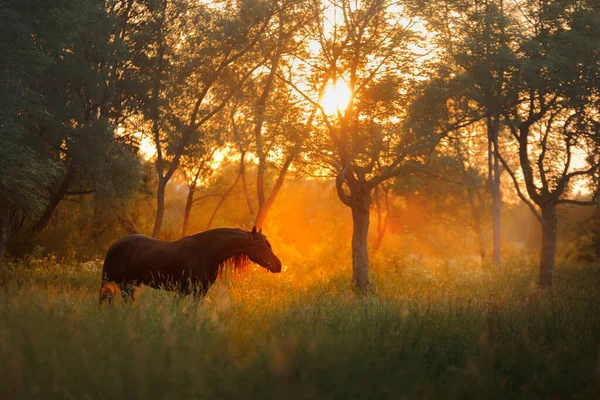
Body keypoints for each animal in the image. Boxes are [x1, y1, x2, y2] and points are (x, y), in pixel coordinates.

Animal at [100, 225, 282, 304]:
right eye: (262, 246)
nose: (278, 265)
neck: (205, 253)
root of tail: (114, 245)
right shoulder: (182, 291)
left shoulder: (200, 292)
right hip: (112, 283)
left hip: (129, 285)